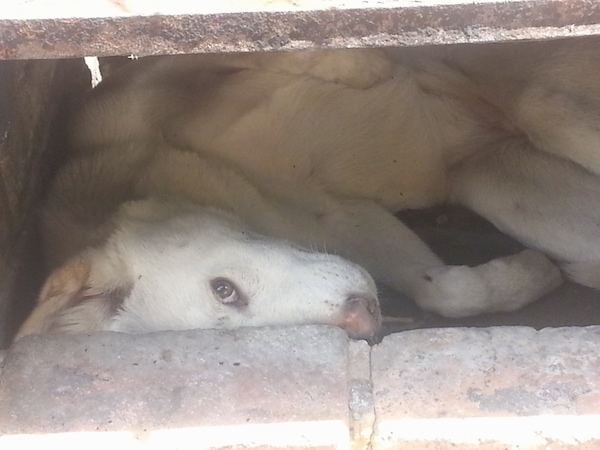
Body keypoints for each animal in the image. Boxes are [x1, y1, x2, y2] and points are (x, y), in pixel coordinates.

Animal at [15, 37, 600, 342]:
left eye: (223, 289)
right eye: (228, 308)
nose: (361, 320)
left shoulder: (152, 84)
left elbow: (268, 45)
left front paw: (364, 62)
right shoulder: (337, 218)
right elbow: (443, 289)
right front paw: (524, 278)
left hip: (552, 109)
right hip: (502, 179)